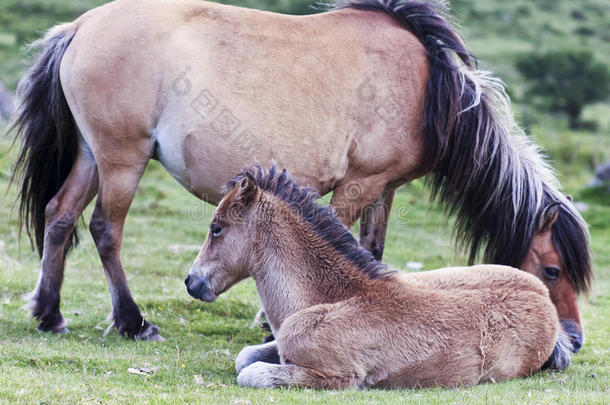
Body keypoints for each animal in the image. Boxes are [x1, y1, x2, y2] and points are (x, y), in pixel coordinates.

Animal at [9, 0, 588, 342]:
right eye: (552, 270)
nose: (576, 339)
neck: (427, 85)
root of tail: (80, 26)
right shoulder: (356, 186)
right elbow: (342, 245)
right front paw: (271, 325)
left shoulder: (384, 189)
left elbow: (373, 249)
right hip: (121, 160)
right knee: (105, 229)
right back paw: (132, 322)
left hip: (92, 156)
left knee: (60, 217)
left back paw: (50, 314)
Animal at [185, 165, 568, 388]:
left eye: (217, 228)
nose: (192, 282)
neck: (329, 297)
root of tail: (544, 299)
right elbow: (245, 356)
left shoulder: (336, 375)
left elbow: (250, 373)